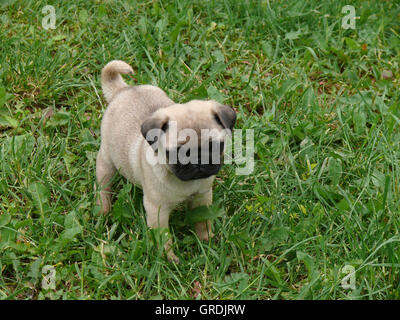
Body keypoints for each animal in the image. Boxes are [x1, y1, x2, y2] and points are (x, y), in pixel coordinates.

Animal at [95, 60, 236, 262]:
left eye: (215, 146)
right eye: (177, 152)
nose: (198, 160)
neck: (185, 183)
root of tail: (123, 90)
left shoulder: (202, 197)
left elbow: (203, 222)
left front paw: (206, 241)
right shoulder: (157, 210)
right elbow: (163, 238)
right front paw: (170, 259)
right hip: (107, 160)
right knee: (103, 183)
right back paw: (103, 208)